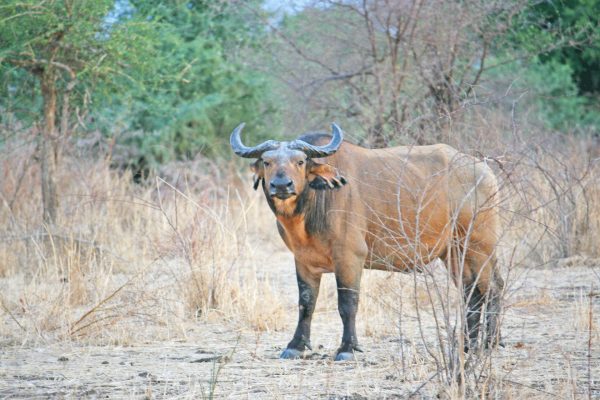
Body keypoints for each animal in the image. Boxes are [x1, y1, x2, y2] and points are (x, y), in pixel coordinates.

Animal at [232, 123, 504, 360]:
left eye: (300, 161)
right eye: (267, 162)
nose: (281, 185)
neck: (315, 203)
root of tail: (484, 170)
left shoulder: (350, 257)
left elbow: (347, 304)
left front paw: (347, 348)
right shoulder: (303, 260)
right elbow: (306, 304)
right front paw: (296, 346)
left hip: (479, 245)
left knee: (492, 287)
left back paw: (489, 344)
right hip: (454, 252)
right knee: (471, 291)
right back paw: (468, 345)